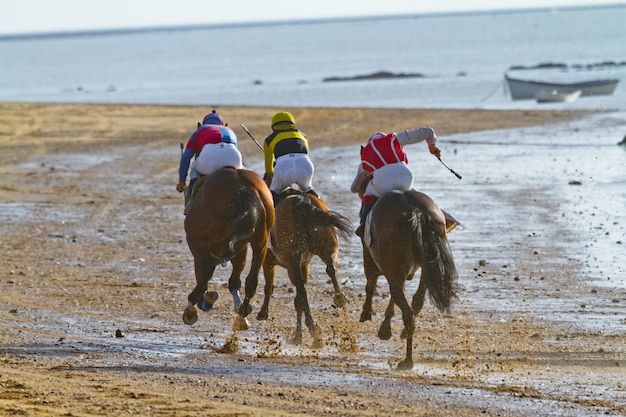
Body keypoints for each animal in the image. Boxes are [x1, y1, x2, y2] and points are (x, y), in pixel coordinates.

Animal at [180, 167, 272, 330]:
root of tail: (244, 192)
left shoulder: (198, 242)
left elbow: (203, 270)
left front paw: (205, 299)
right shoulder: (240, 246)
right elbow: (235, 279)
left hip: (196, 238)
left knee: (208, 268)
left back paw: (191, 307)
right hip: (261, 241)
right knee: (252, 281)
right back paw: (241, 317)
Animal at [255, 190, 352, 346]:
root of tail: (302, 200)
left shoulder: (269, 261)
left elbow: (269, 287)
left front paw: (263, 313)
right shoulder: (304, 265)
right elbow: (297, 300)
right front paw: (297, 336)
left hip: (292, 263)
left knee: (302, 289)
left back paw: (313, 327)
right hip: (325, 245)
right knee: (330, 268)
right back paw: (339, 297)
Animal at [352, 171, 458, 368]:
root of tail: (417, 212)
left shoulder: (370, 254)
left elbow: (371, 282)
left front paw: (368, 314)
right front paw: (386, 327)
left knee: (405, 307)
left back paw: (407, 359)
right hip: (427, 264)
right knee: (416, 300)